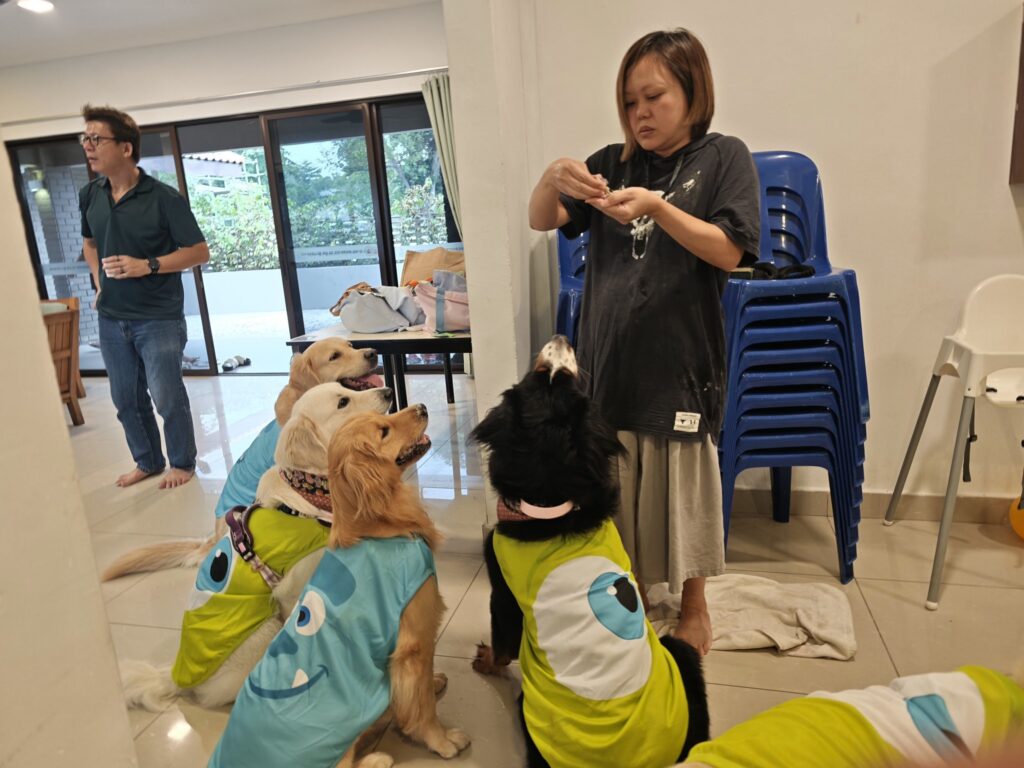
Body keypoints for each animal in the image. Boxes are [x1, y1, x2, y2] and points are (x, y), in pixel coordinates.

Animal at [121, 381, 393, 711]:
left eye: (347, 388)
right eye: (343, 402)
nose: (388, 392)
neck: (308, 494)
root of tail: (175, 676)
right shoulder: (290, 589)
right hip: (264, 630)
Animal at [209, 406, 471, 767]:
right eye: (384, 431)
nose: (421, 407)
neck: (375, 529)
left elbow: (412, 693)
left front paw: (432, 682)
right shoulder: (415, 644)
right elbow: (422, 707)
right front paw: (442, 741)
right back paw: (377, 758)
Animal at [470, 335, 709, 768]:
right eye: (544, 374)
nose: (561, 338)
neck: (552, 499)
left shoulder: (503, 595)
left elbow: (502, 644)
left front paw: (486, 662)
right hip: (680, 655)